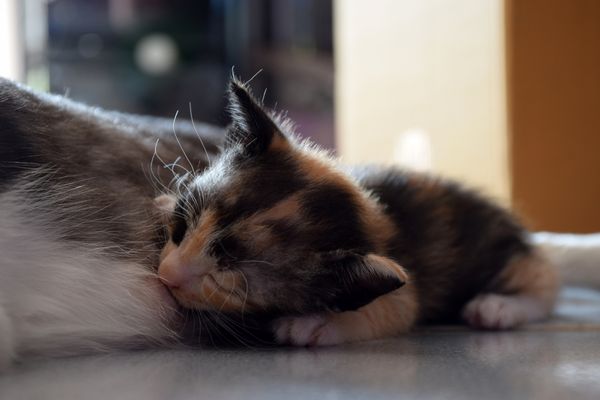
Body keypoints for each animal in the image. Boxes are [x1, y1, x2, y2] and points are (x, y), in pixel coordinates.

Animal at [157, 79, 560, 346]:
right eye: (181, 227)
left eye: (221, 282)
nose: (165, 275)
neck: (377, 212)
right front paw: (162, 201)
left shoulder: (405, 285)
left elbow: (396, 307)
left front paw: (314, 324)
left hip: (504, 254)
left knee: (545, 284)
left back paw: (496, 307)